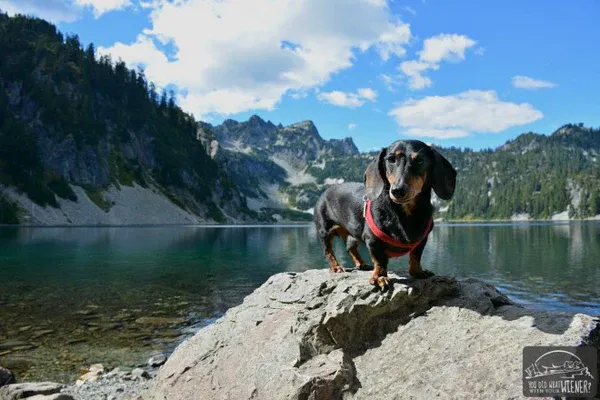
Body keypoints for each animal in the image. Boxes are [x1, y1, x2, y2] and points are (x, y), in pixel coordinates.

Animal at [312, 139, 458, 290]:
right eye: (391, 159)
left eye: (420, 160)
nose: (398, 190)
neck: (406, 213)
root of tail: (326, 191)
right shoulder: (372, 240)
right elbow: (380, 260)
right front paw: (380, 277)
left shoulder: (422, 239)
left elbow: (416, 255)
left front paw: (417, 271)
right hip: (325, 231)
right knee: (328, 251)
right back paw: (336, 267)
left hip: (353, 233)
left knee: (350, 248)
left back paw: (361, 264)